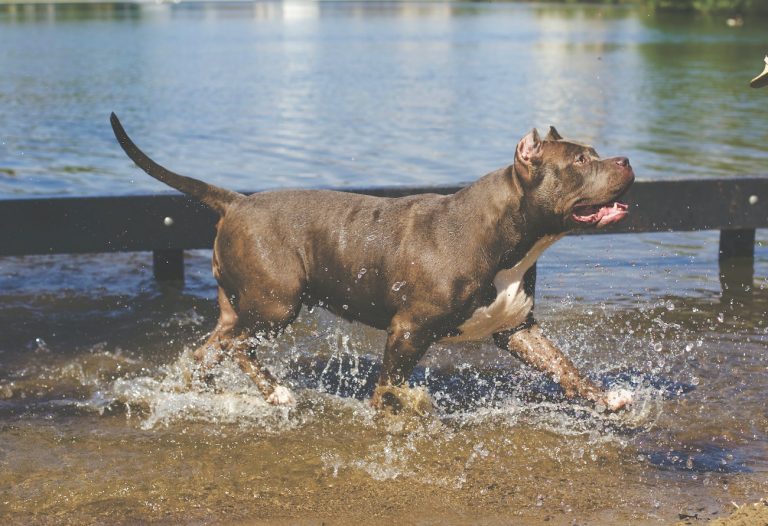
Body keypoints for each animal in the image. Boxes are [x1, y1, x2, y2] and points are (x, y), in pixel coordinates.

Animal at [109, 113, 636, 414]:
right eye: (581, 161)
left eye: (594, 154)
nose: (627, 159)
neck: (508, 234)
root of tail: (237, 202)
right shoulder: (407, 329)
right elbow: (390, 384)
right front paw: (396, 412)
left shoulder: (517, 328)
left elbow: (564, 366)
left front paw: (606, 397)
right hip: (278, 304)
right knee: (241, 346)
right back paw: (277, 393)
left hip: (243, 307)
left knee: (211, 348)